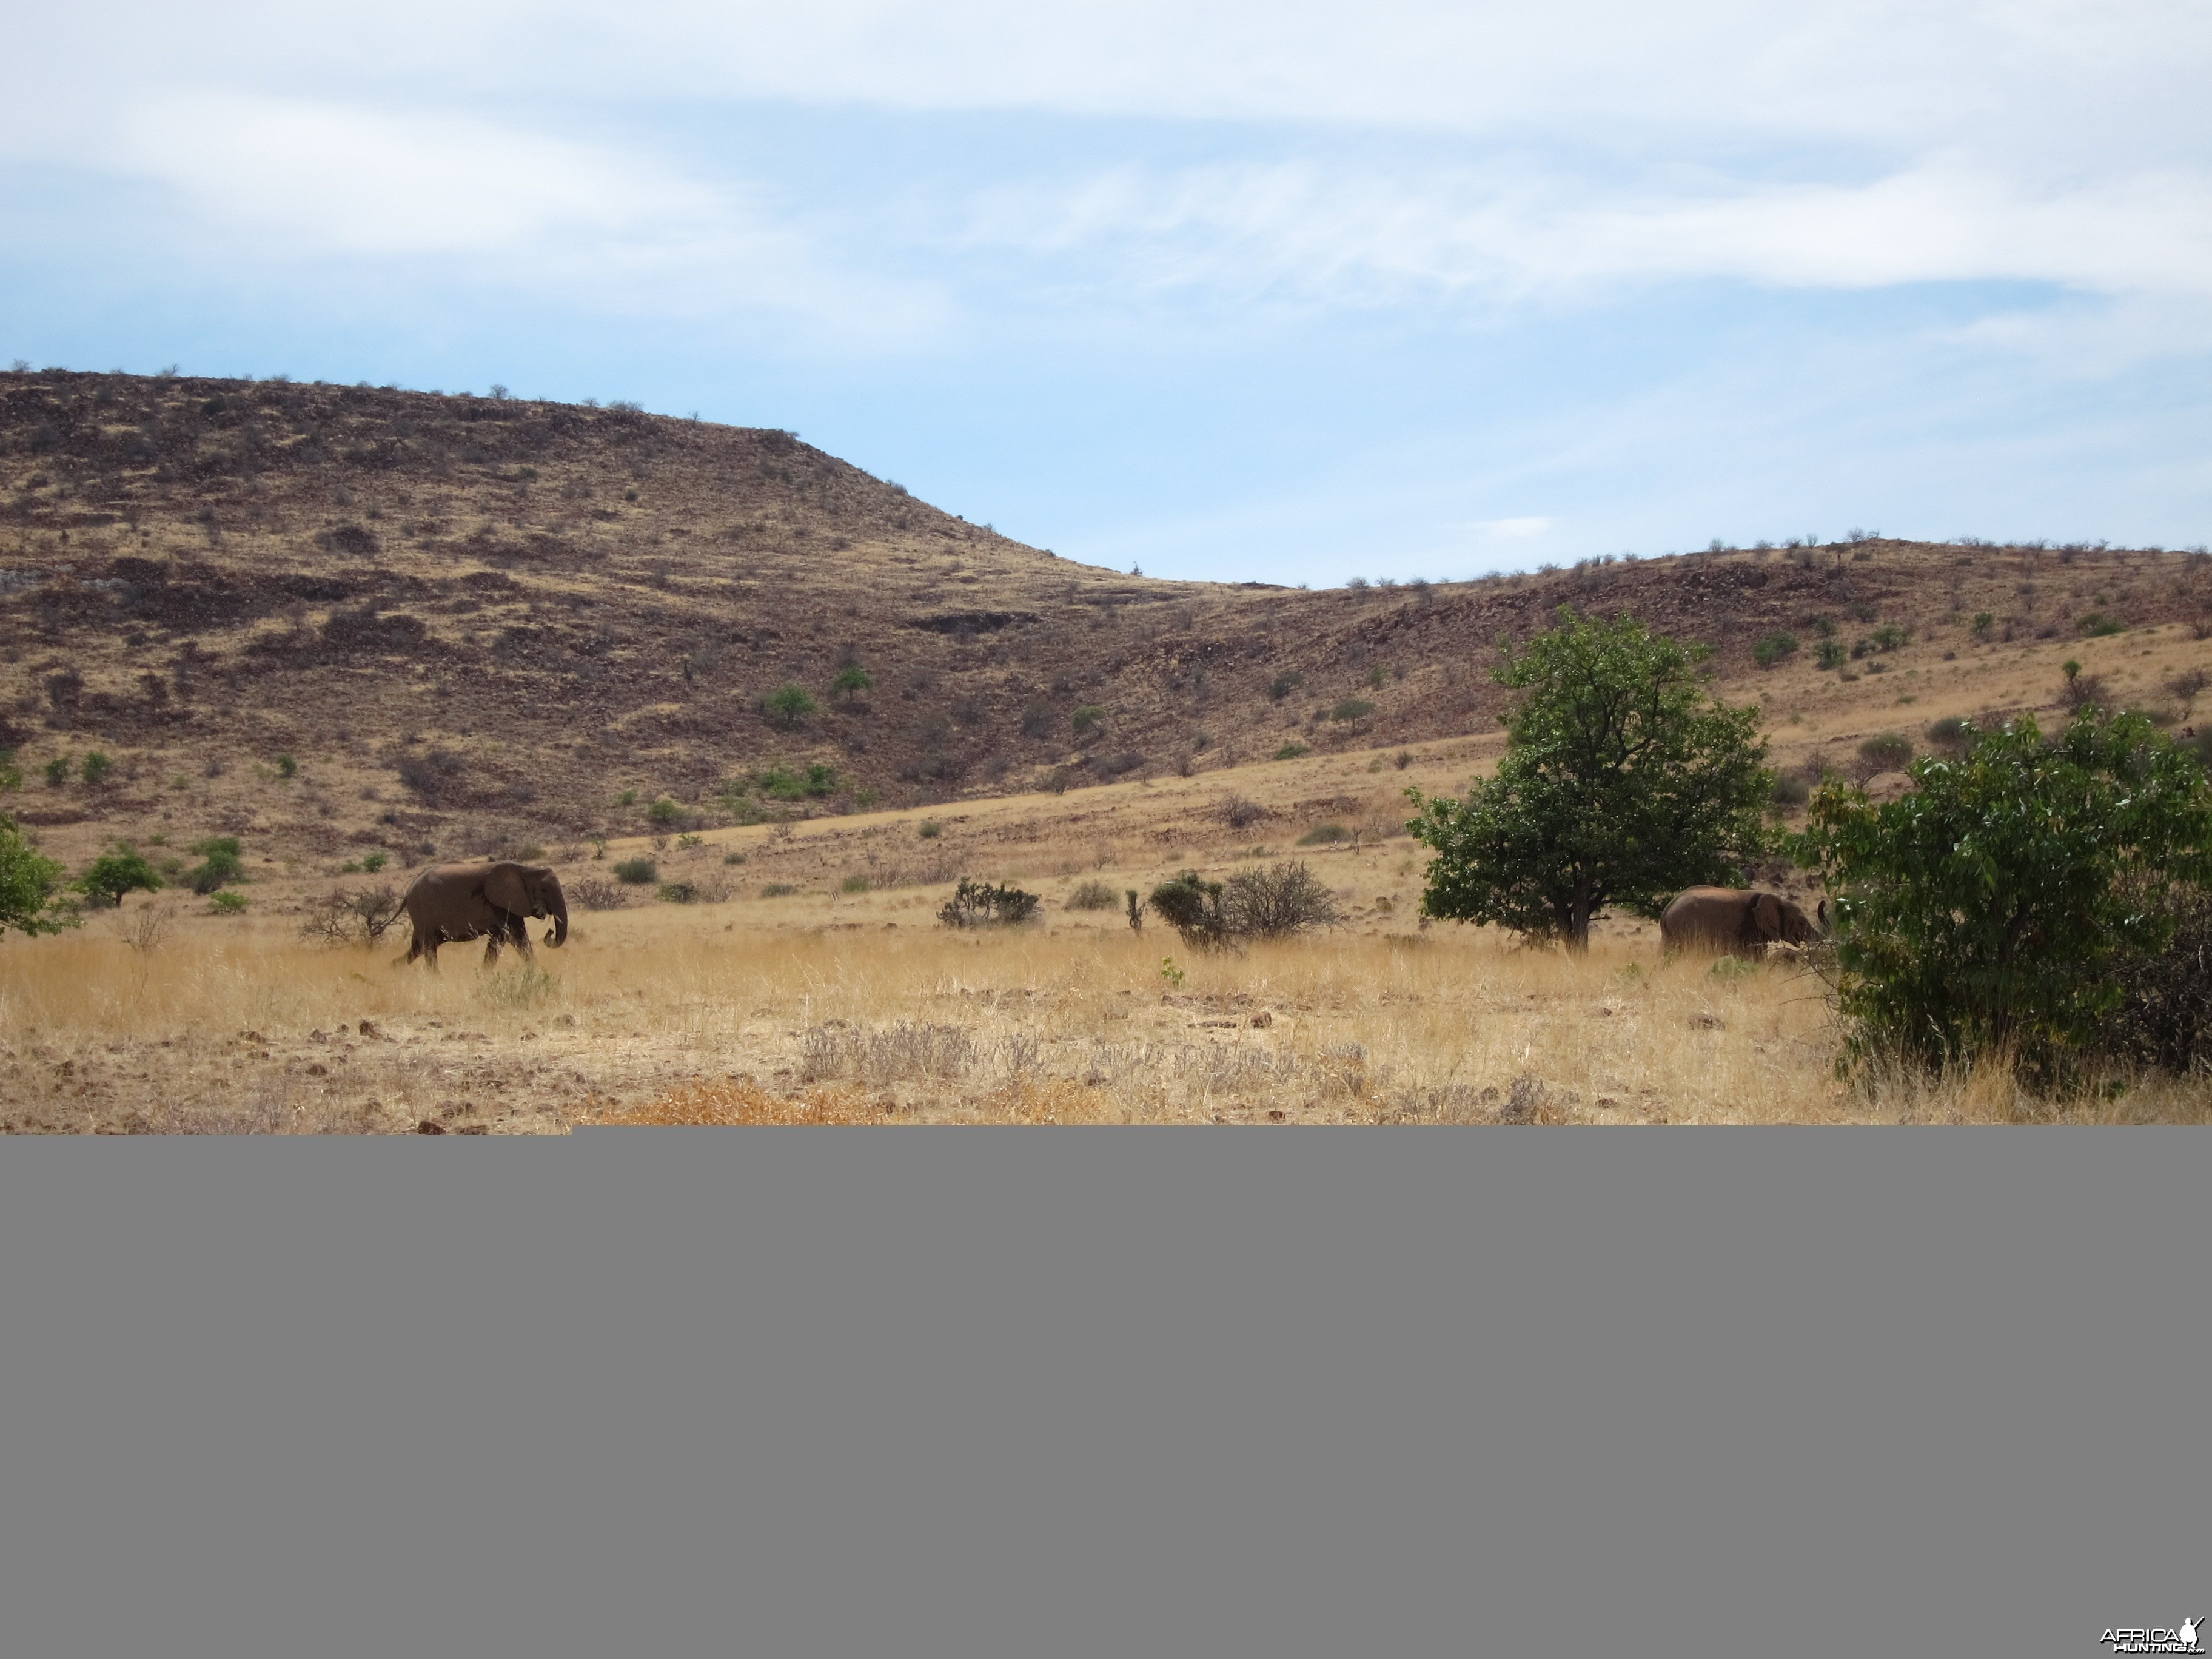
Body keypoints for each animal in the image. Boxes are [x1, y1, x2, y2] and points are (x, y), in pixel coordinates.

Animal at [402, 862, 571, 968]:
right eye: (544, 890)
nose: (550, 932)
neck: (526, 870)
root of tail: (409, 891)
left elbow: (505, 939)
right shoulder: (501, 903)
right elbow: (514, 937)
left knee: (418, 948)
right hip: (423, 911)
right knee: (429, 947)